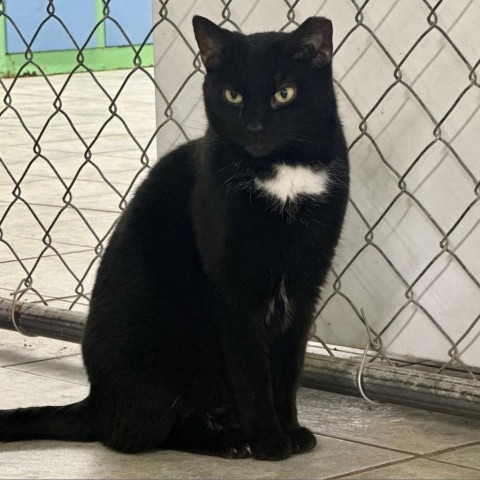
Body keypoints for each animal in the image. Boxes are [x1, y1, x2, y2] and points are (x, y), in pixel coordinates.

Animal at [0, 15, 348, 462]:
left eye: (284, 93)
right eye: (233, 95)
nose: (254, 128)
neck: (282, 172)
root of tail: (98, 402)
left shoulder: (305, 286)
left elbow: (287, 369)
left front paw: (292, 431)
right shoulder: (234, 292)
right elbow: (252, 373)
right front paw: (271, 442)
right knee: (138, 436)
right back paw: (229, 441)